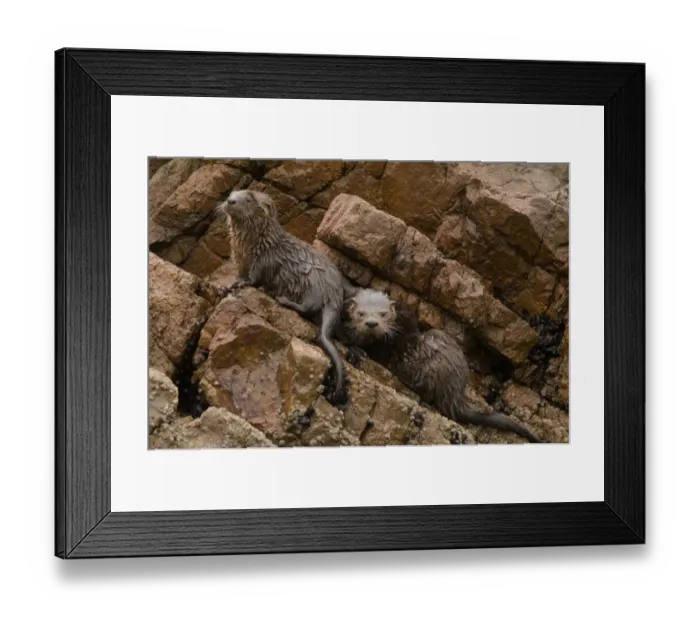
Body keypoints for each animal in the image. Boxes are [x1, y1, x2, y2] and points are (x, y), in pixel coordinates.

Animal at [213, 189, 350, 402]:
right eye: (232, 193)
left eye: (248, 199)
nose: (230, 201)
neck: (253, 243)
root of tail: (334, 294)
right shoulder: (241, 261)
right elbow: (239, 275)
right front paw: (228, 285)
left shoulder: (263, 261)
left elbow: (253, 279)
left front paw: (243, 285)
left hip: (312, 282)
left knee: (308, 307)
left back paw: (280, 297)